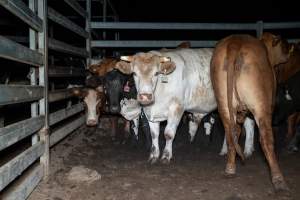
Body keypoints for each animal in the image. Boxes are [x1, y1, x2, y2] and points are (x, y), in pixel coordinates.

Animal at [210, 32, 292, 192]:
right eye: (282, 45)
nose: (288, 53)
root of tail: (235, 42)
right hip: (260, 104)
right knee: (266, 139)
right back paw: (278, 179)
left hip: (223, 103)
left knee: (230, 135)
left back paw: (230, 169)